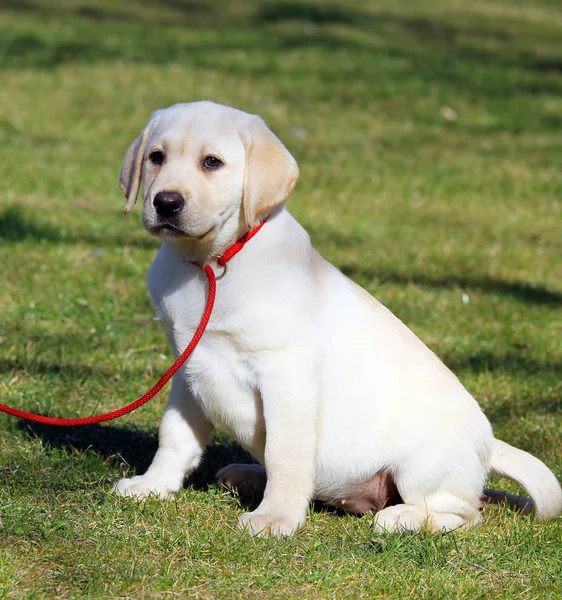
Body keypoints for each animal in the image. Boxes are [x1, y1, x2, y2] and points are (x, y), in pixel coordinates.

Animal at [115, 101, 560, 536]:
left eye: (212, 162)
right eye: (156, 157)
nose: (165, 202)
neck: (211, 264)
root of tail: (490, 444)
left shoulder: (285, 375)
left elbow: (285, 452)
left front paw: (275, 518)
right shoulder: (189, 368)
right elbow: (175, 436)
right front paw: (153, 486)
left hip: (423, 467)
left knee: (465, 512)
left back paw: (401, 518)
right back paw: (246, 475)